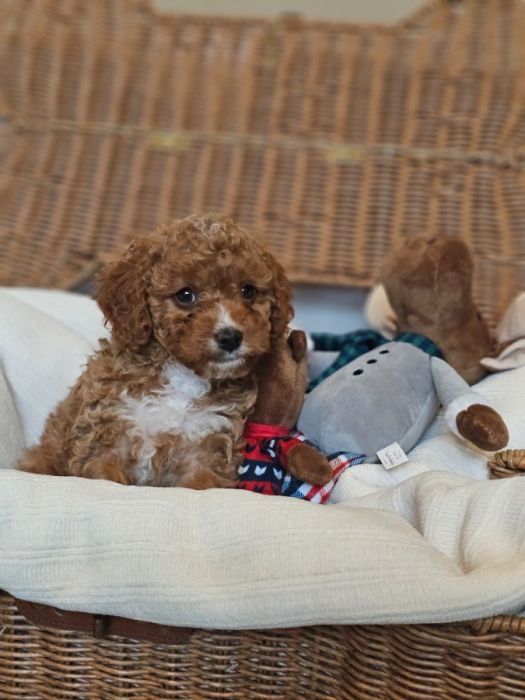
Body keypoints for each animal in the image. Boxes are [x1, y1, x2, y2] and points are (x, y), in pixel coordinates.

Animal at [17, 216, 294, 490]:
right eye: (185, 295)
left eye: (248, 291)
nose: (230, 337)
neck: (181, 375)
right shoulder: (107, 433)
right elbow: (105, 473)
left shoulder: (209, 443)